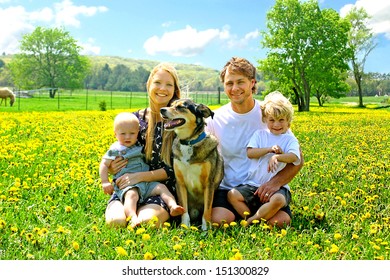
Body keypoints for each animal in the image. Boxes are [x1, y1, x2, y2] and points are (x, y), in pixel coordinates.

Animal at [161, 98, 222, 230]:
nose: (161, 109)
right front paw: (185, 227)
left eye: (180, 107)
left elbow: (207, 211)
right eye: (171, 105)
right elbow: (184, 210)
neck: (189, 142)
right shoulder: (180, 183)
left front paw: (206, 229)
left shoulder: (209, 184)